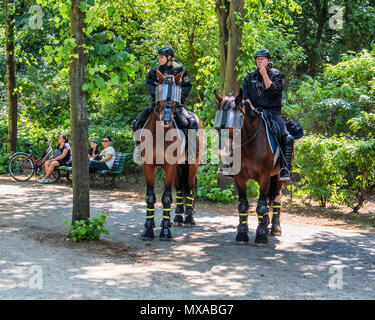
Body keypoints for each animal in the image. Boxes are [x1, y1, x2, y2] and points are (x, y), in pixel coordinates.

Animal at [140, 69, 204, 241]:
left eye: (175, 100)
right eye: (161, 99)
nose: (167, 119)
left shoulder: (170, 167)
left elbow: (167, 198)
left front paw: (165, 232)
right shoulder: (148, 166)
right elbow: (150, 197)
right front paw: (148, 229)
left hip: (192, 164)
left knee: (189, 187)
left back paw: (188, 219)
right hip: (180, 167)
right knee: (180, 188)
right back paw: (177, 217)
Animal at [214, 89, 290, 246]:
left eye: (233, 123)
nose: (223, 148)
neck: (249, 144)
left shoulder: (264, 177)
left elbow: (261, 206)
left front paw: (261, 237)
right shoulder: (239, 178)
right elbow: (243, 205)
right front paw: (242, 234)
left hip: (278, 177)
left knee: (276, 198)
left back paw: (275, 228)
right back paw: (265, 225)